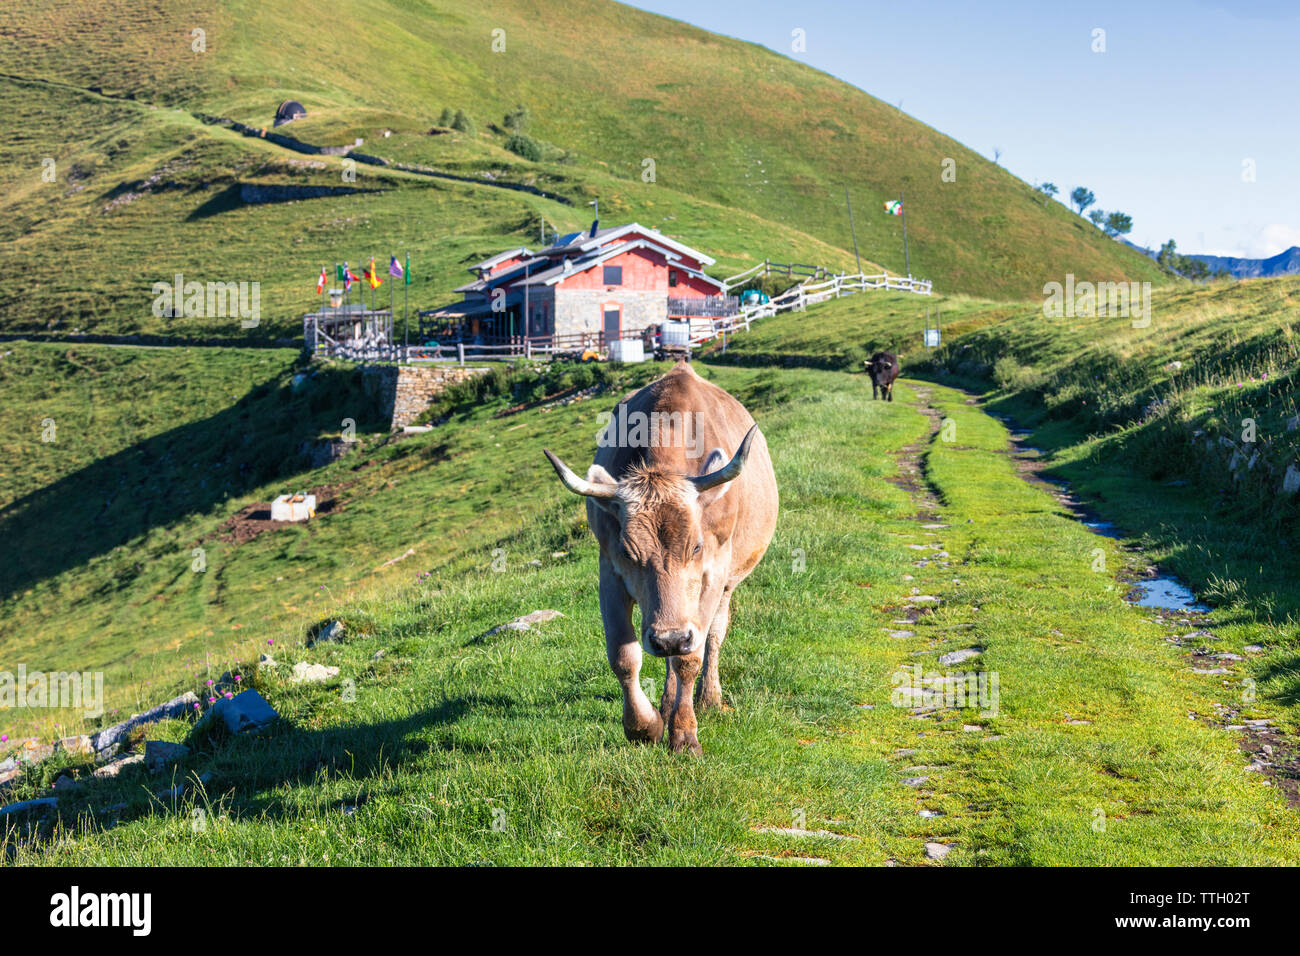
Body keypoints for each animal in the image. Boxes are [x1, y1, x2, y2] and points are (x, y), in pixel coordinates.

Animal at [540, 361, 774, 749]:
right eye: (627, 550)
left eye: (696, 546)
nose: (670, 637)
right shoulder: (609, 573)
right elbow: (624, 656)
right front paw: (644, 726)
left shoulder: (712, 576)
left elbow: (690, 657)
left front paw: (684, 732)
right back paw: (665, 702)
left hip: (725, 586)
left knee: (713, 634)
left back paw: (709, 698)